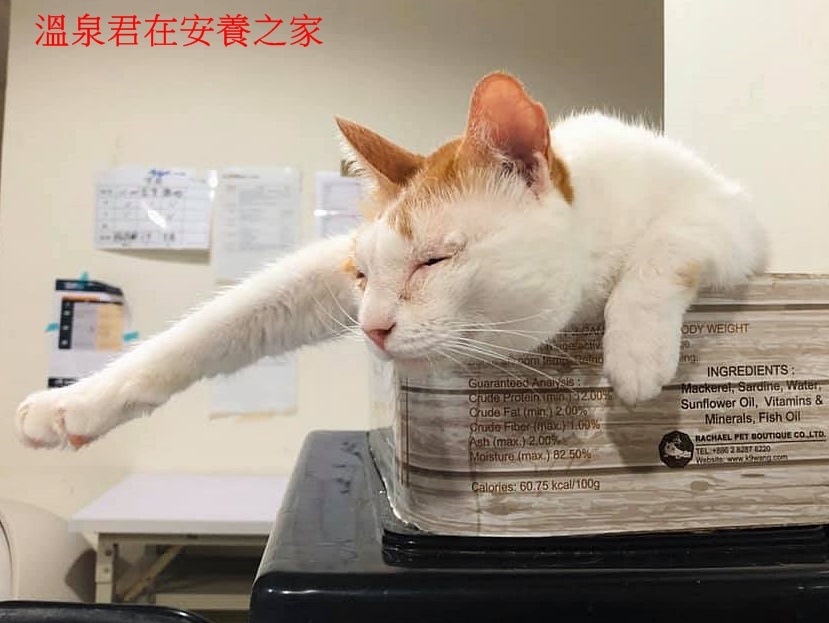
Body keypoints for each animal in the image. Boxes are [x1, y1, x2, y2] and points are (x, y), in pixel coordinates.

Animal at [15, 71, 767, 449]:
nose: (371, 328)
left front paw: (635, 354)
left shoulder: (737, 221)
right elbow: (217, 323)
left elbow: (664, 248)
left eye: (432, 260)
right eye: (362, 276)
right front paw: (75, 403)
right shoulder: (316, 275)